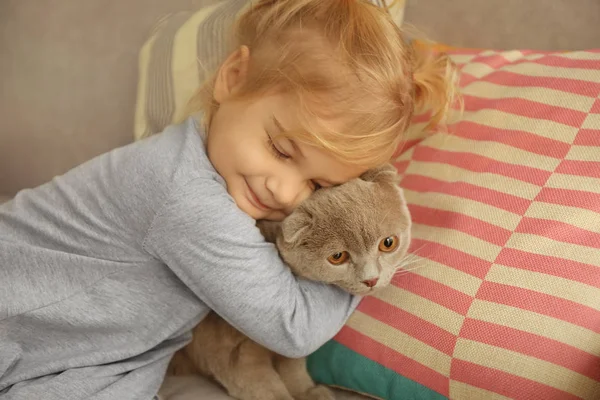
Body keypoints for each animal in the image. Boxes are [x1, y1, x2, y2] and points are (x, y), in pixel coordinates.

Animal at [168, 163, 412, 400]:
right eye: (337, 257)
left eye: (388, 243)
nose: (371, 279)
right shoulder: (229, 350)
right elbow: (262, 386)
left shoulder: (287, 348)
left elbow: (291, 365)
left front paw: (307, 392)